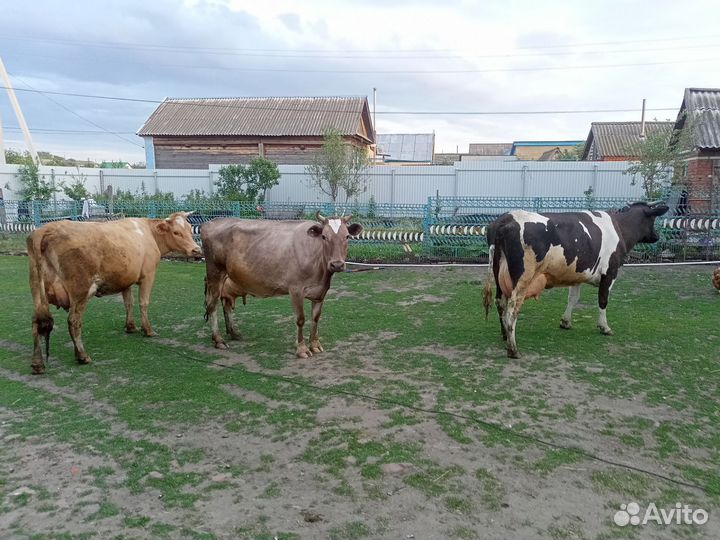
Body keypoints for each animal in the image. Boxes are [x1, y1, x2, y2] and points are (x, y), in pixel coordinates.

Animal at [27, 212, 202, 374]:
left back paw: (37, 364)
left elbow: (128, 303)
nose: (196, 250)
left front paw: (130, 326)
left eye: (189, 229)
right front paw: (148, 330)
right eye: (176, 232)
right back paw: (82, 356)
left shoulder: (126, 279)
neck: (149, 233)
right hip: (81, 291)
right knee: (74, 321)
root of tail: (46, 229)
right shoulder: (148, 275)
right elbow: (143, 303)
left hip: (37, 293)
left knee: (36, 323)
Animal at [201, 212, 362, 357]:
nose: (337, 265)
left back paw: (234, 333)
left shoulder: (320, 292)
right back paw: (218, 340)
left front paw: (315, 345)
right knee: (212, 304)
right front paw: (302, 349)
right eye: (324, 236)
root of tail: (210, 222)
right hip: (215, 273)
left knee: (226, 304)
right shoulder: (296, 289)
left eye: (347, 236)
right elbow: (300, 319)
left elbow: (316, 318)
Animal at [482, 201, 669, 358]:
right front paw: (604, 327)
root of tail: (505, 220)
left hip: (499, 276)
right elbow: (603, 300)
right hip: (523, 277)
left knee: (500, 302)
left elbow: (573, 298)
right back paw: (513, 349)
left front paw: (565, 322)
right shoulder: (610, 272)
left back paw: (505, 335)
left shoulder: (577, 273)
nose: (657, 236)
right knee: (511, 309)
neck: (619, 228)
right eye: (653, 219)